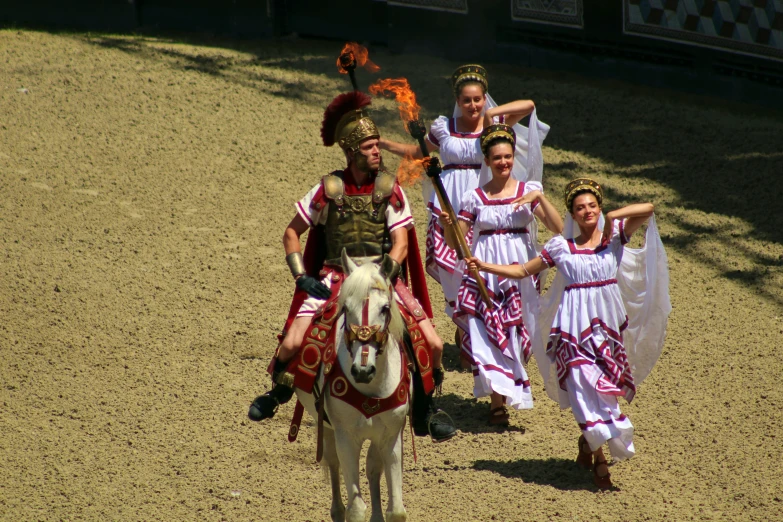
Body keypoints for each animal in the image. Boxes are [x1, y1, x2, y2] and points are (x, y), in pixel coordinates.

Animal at [296, 251, 410, 520]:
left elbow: (397, 510)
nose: (362, 370)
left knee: (372, 468)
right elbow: (356, 508)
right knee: (334, 467)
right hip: (327, 429)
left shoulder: (391, 436)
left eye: (385, 308)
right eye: (346, 308)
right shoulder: (346, 437)